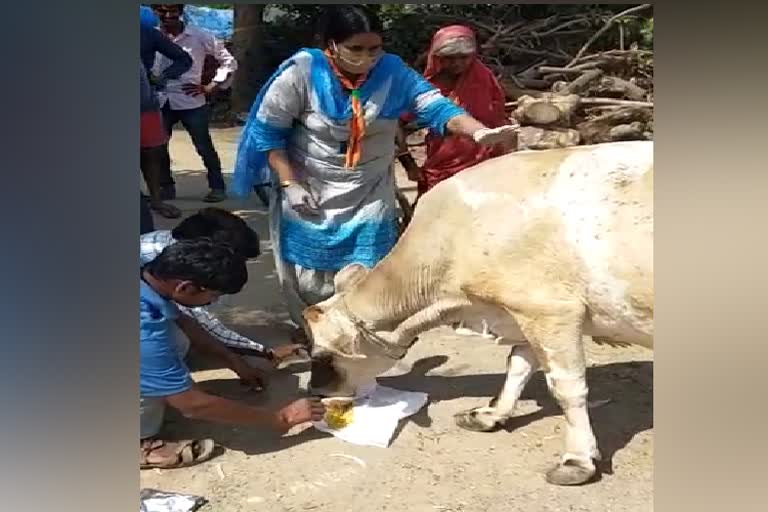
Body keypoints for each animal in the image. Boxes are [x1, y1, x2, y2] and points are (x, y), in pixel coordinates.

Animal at [304, 141, 652, 488]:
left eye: (323, 356)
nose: (316, 391)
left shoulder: (551, 310)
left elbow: (567, 388)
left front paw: (577, 460)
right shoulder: (519, 311)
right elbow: (517, 367)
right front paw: (491, 415)